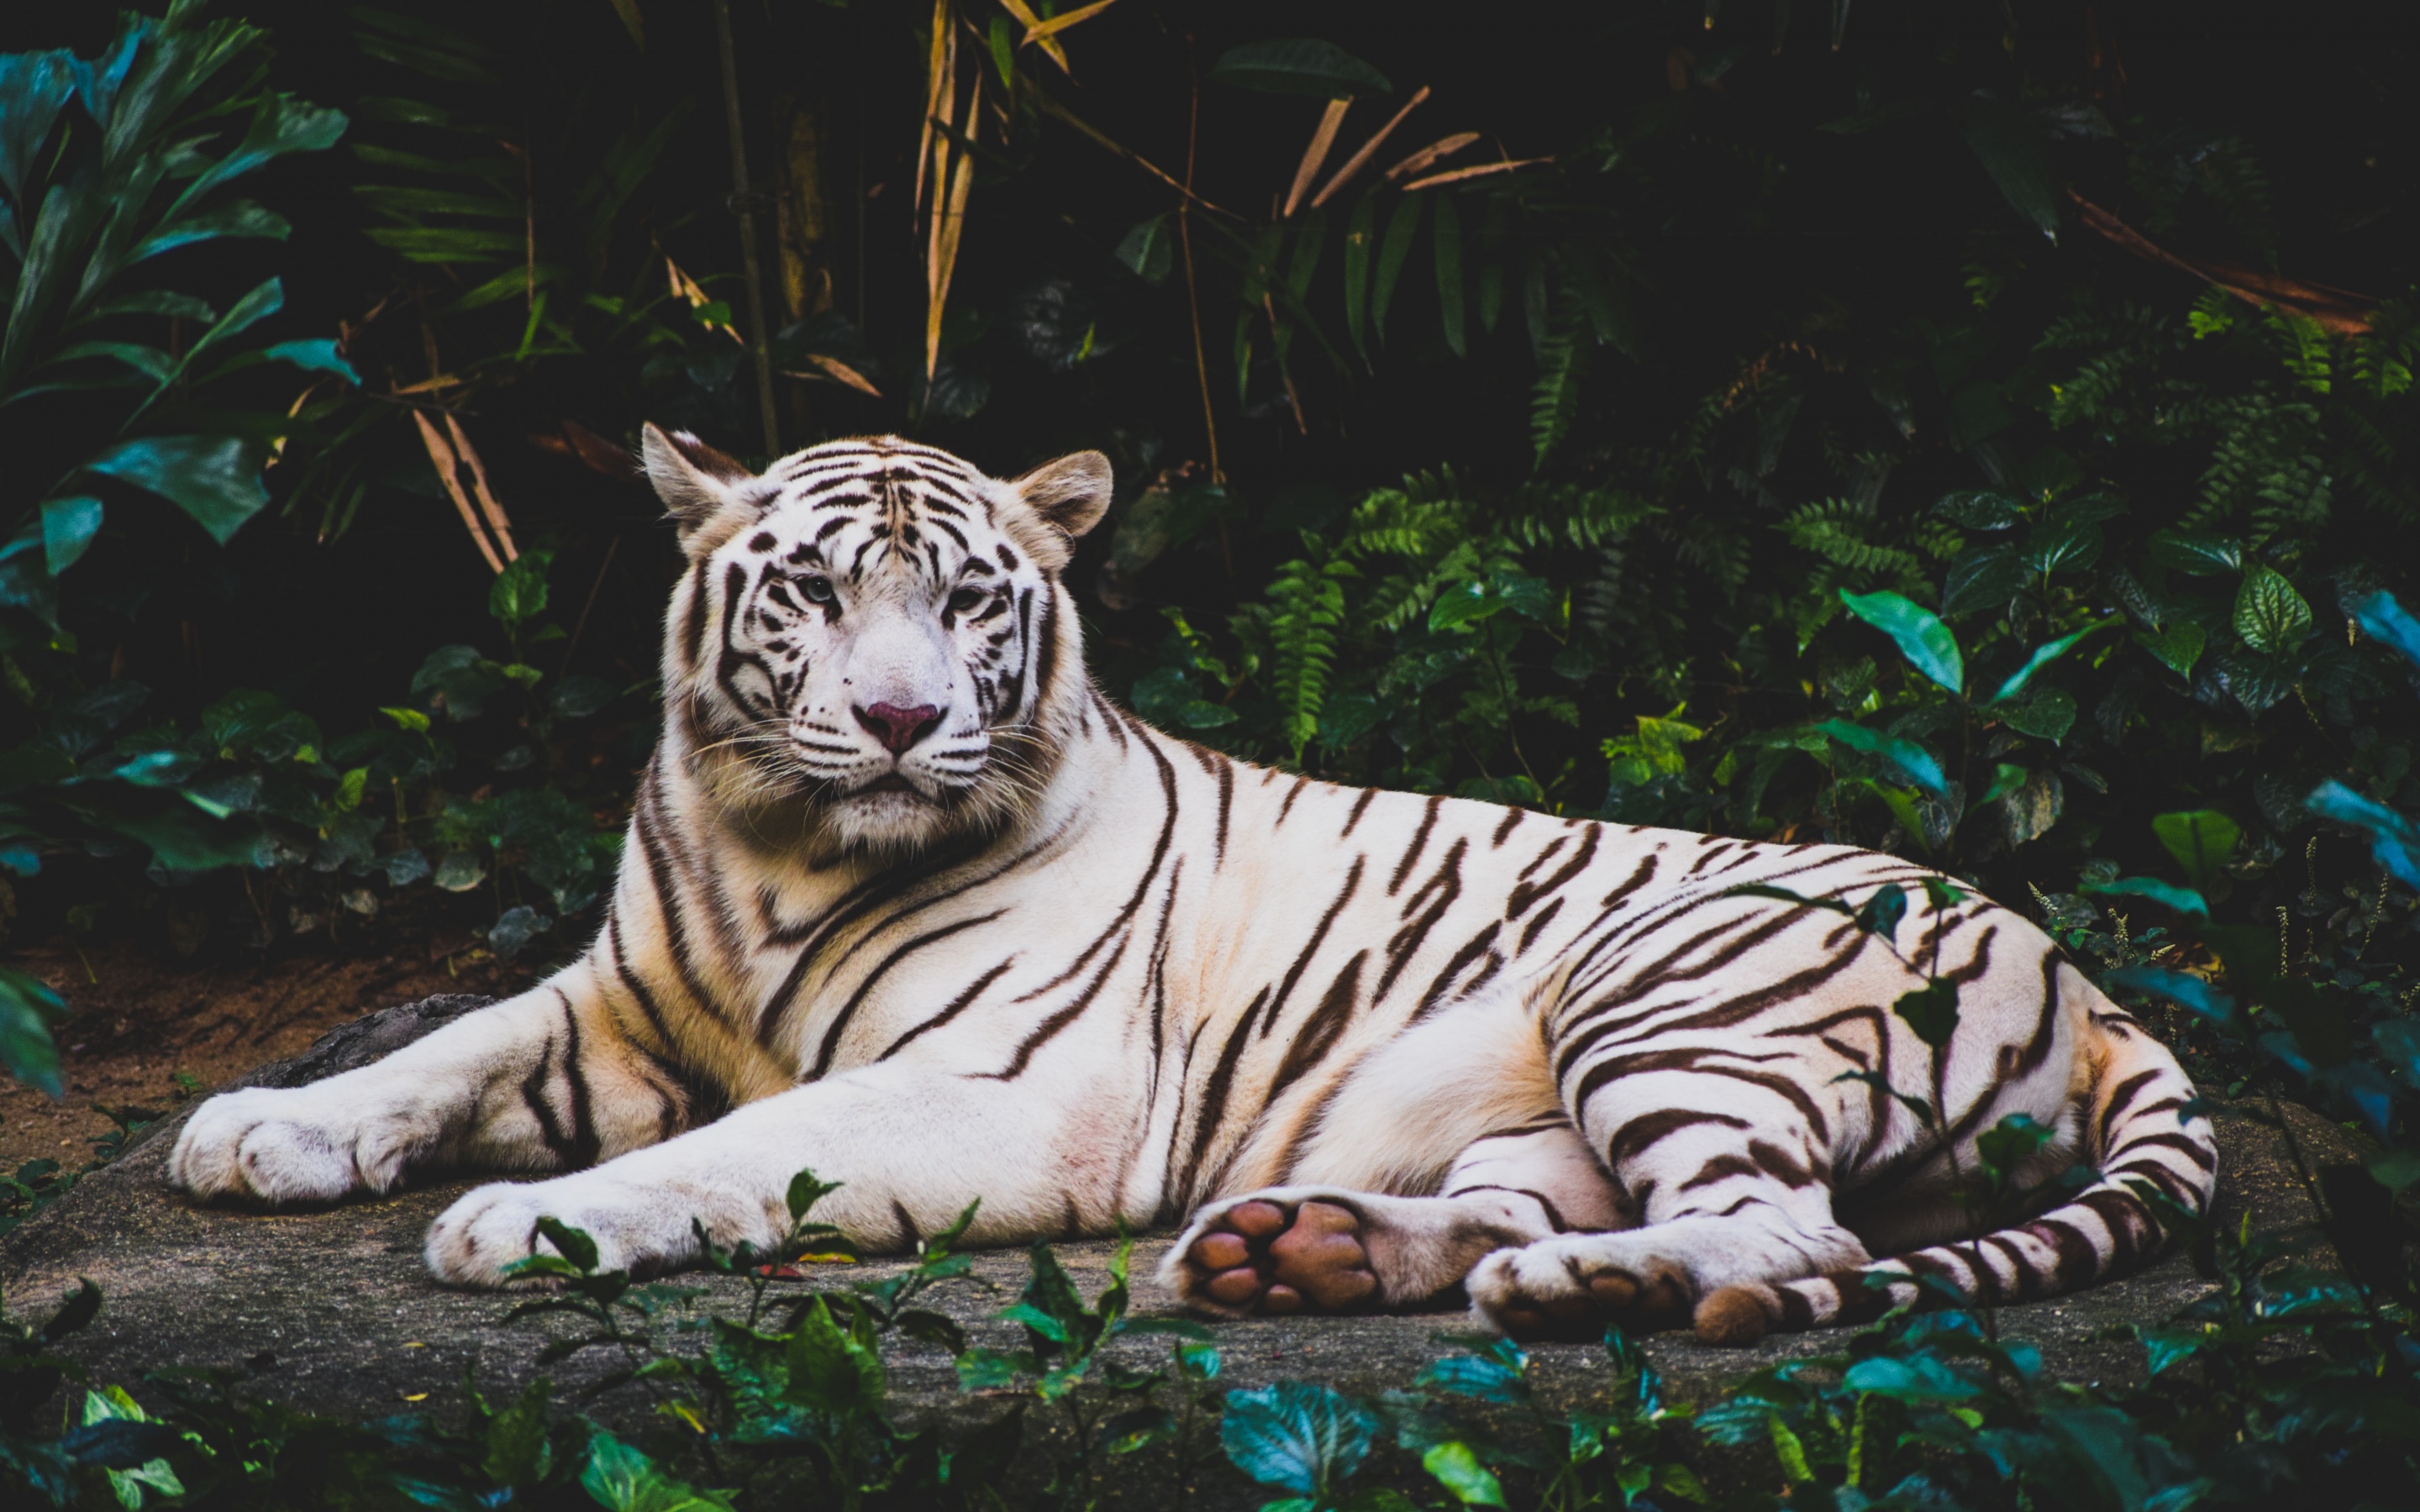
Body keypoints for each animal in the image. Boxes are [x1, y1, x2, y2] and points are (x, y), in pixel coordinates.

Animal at [167, 426, 2217, 1347]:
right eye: (815, 592)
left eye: (969, 601)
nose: (901, 721)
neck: (778, 848)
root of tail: (2091, 979)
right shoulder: (616, 999)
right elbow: (442, 1046)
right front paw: (259, 1128)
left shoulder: (1006, 1093)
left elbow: (734, 1152)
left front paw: (528, 1224)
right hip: (1541, 1096)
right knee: (1542, 1204)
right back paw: (1303, 1250)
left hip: (1668, 990)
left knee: (1796, 1234)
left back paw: (1587, 1288)